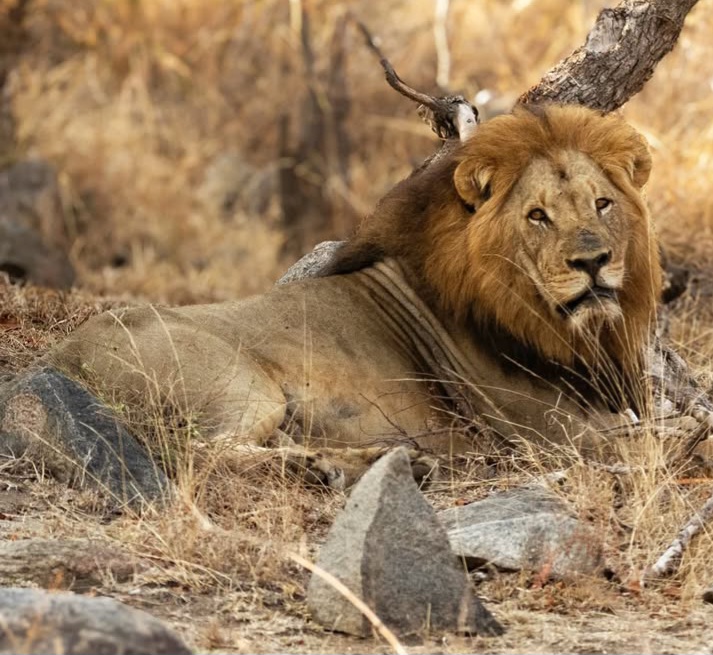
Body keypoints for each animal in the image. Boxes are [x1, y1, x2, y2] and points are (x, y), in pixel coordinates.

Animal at [41, 104, 664, 489]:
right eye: (537, 216)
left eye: (602, 204)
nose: (593, 262)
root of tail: (60, 357)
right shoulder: (549, 431)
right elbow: (659, 441)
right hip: (240, 385)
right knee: (200, 453)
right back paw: (345, 466)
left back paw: (382, 462)